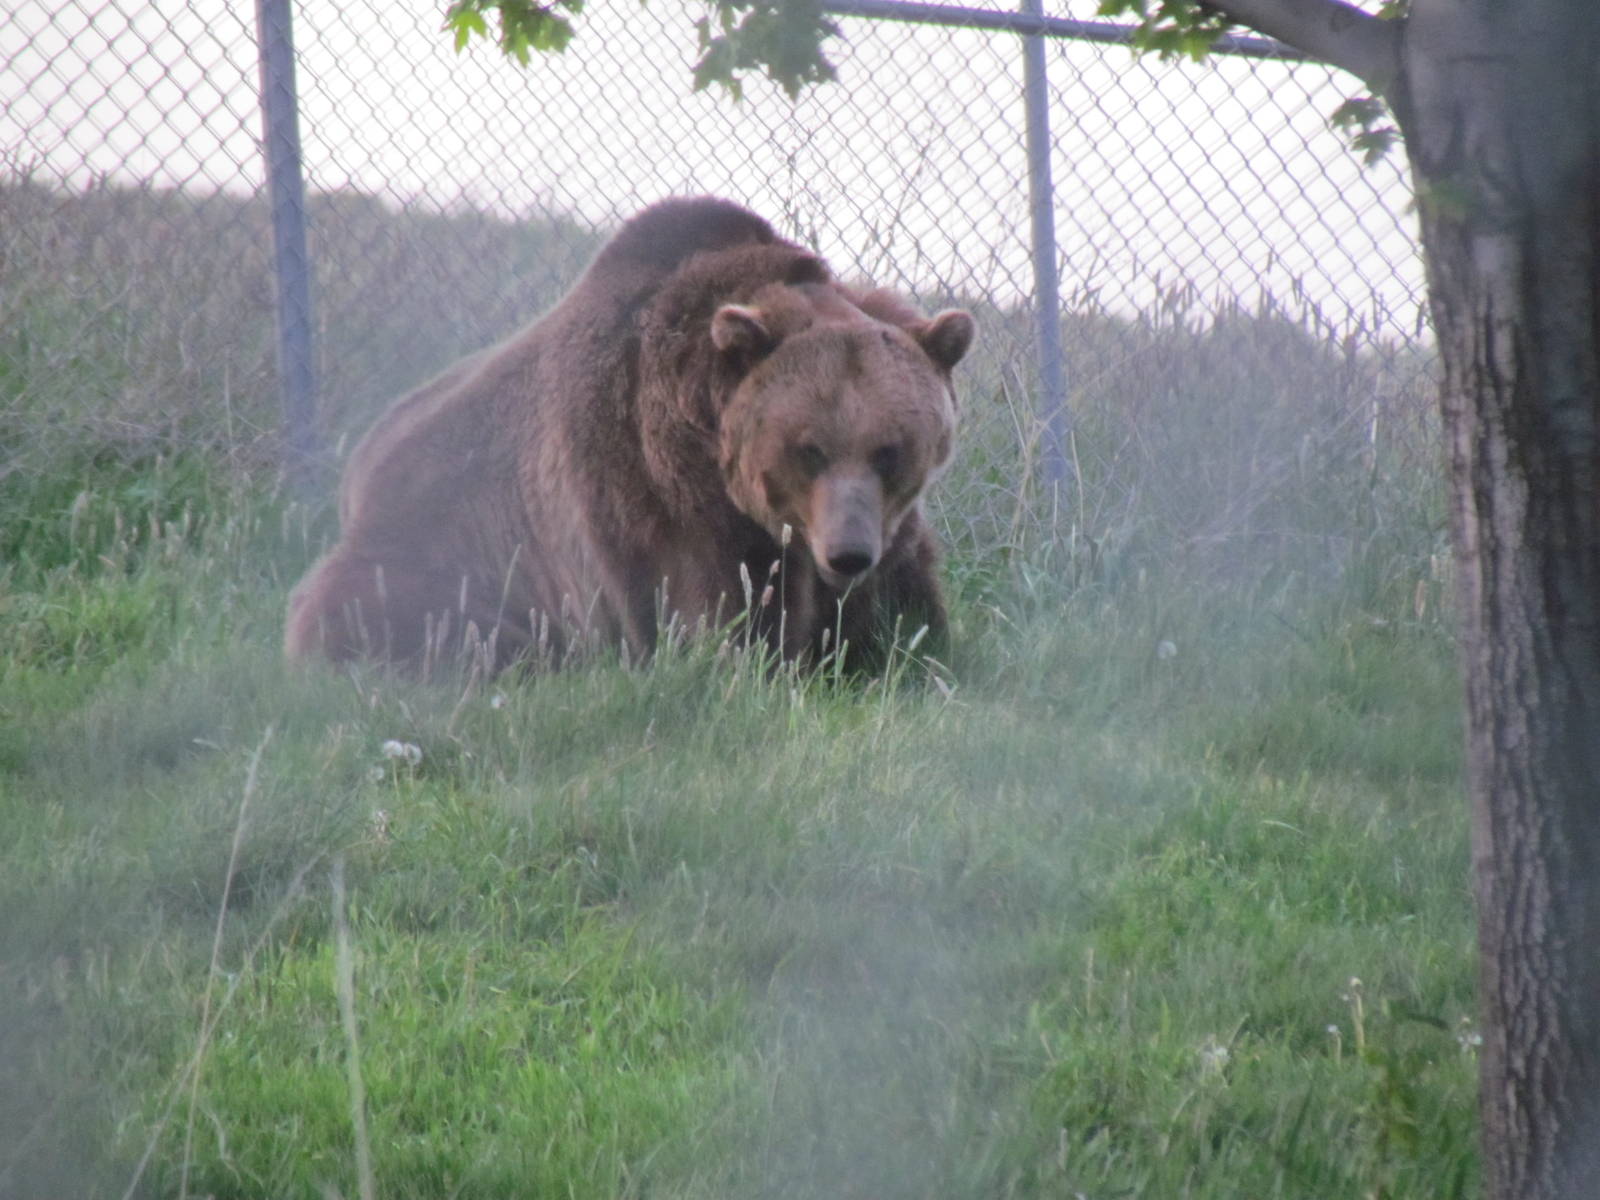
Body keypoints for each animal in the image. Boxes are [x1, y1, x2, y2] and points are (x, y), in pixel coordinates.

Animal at [284, 196, 975, 675]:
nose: (848, 553)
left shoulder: (886, 530)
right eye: (808, 449)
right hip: (441, 547)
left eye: (889, 451)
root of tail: (361, 460)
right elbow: (724, 617)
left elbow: (904, 622)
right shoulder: (661, 499)